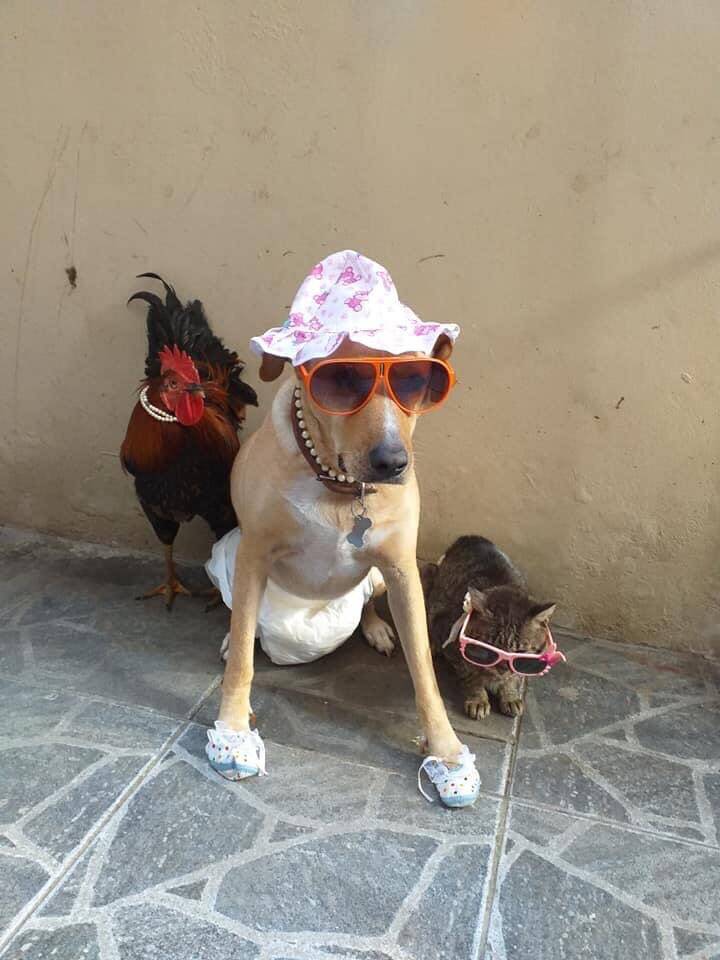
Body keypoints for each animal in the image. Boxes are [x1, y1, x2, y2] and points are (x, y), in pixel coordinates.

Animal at [217, 338, 464, 764]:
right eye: (343, 376)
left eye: (416, 378)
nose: (392, 463)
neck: (341, 489)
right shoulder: (254, 556)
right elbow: (242, 658)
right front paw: (232, 725)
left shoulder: (401, 572)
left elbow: (424, 669)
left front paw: (444, 745)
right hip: (234, 558)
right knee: (243, 621)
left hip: (379, 579)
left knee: (366, 601)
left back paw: (376, 628)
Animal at [422, 536, 556, 716]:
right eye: (488, 649)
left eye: (520, 652)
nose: (503, 668)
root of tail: (468, 537)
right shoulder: (443, 628)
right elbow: (470, 674)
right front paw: (478, 698)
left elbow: (515, 677)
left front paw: (510, 694)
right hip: (427, 572)